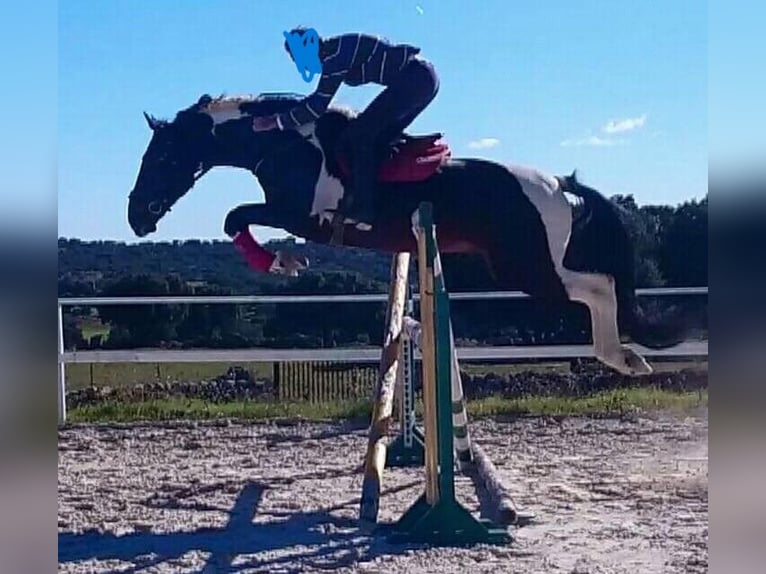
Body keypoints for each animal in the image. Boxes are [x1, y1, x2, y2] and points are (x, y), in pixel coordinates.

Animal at [127, 92, 686, 376]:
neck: (285, 143)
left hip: (527, 269)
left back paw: (623, 357)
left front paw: (284, 263)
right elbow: (235, 218)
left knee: (600, 287)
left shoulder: (298, 216)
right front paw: (285, 263)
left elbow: (234, 217)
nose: (137, 217)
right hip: (522, 267)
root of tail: (558, 183)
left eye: (162, 157)